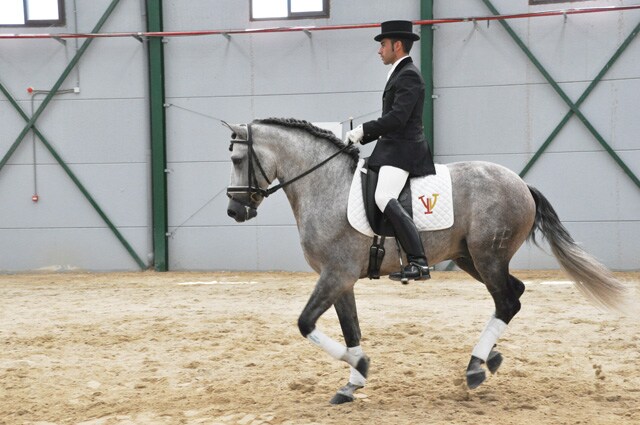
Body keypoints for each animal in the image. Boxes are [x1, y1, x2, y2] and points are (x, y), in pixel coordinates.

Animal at [224, 117, 632, 404]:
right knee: (513, 294)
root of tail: (520, 183)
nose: (234, 211)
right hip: (473, 259)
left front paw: (359, 368)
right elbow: (350, 328)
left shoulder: (336, 274)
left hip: (487, 256)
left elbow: (306, 323)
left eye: (237, 158)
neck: (325, 186)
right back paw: (489, 359)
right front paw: (353, 381)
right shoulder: (341, 278)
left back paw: (475, 368)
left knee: (507, 301)